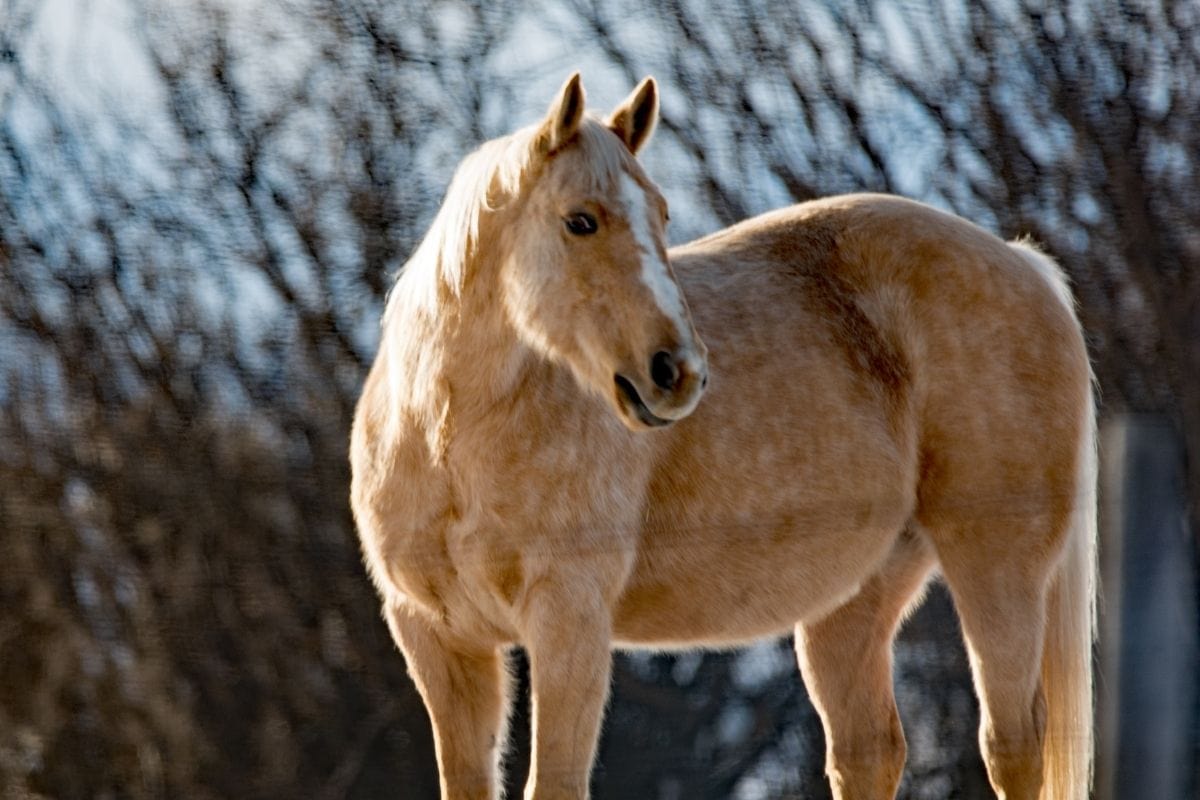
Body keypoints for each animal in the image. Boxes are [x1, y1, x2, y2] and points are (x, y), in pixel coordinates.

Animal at [350, 73, 1096, 800]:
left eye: (661, 215)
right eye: (580, 220)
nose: (676, 372)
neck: (446, 437)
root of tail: (1024, 264)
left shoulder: (568, 623)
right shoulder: (438, 639)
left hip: (995, 565)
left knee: (1013, 744)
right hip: (856, 597)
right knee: (869, 753)